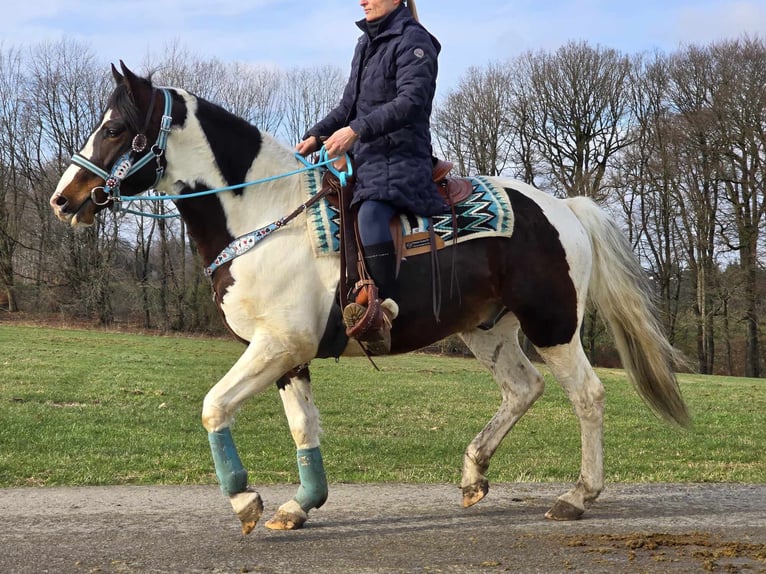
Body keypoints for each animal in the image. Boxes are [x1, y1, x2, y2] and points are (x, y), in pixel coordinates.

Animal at [51, 63, 692, 536]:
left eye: (115, 128)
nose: (63, 198)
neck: (265, 215)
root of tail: (566, 208)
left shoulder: (277, 345)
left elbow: (214, 406)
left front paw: (246, 501)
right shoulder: (289, 355)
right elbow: (303, 428)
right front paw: (300, 505)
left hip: (552, 324)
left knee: (587, 395)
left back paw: (578, 496)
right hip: (488, 328)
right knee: (522, 388)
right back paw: (473, 475)